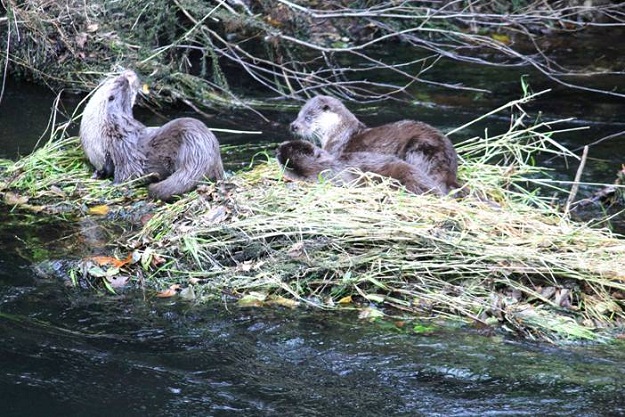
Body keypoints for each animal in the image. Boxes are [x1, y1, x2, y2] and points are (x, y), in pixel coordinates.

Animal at [78, 70, 224, 200]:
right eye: (119, 80)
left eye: (126, 81)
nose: (129, 73)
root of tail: (204, 155)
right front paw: (97, 175)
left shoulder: (124, 150)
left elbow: (129, 174)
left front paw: (113, 185)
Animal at [292, 94, 458, 193]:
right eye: (298, 115)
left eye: (308, 117)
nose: (293, 126)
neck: (339, 133)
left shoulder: (334, 150)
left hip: (420, 147)